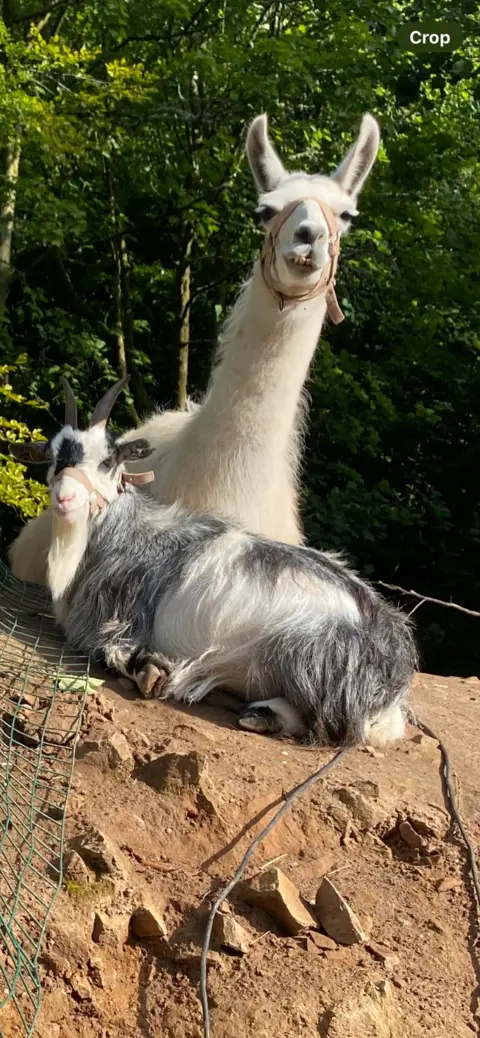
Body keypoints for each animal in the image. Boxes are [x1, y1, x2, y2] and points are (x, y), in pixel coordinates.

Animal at [6, 378, 417, 746]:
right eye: (54, 458)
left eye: (109, 459)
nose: (65, 498)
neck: (123, 532)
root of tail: (393, 651)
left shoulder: (107, 621)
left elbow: (109, 648)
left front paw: (149, 669)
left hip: (304, 654)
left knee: (336, 726)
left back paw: (261, 713)